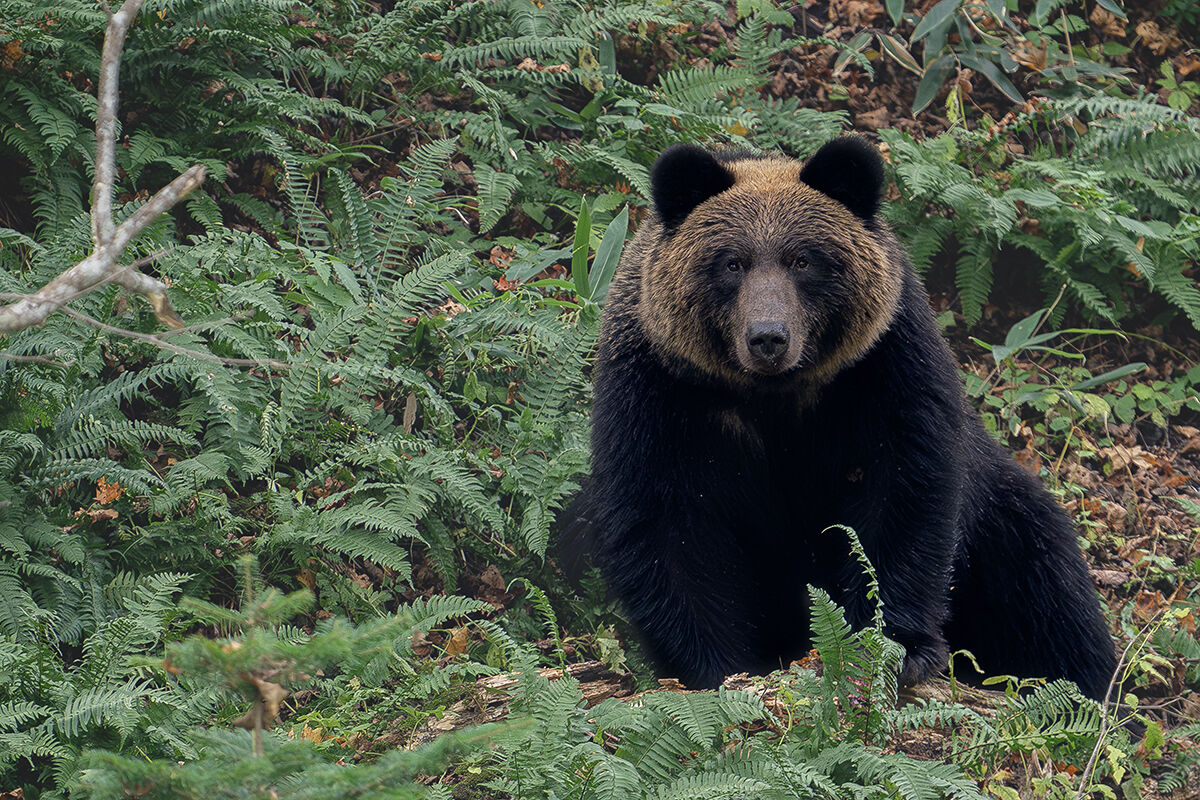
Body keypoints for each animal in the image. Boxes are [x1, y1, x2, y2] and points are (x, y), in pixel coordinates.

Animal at [580, 136, 1117, 700]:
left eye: (802, 260)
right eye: (731, 263)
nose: (768, 338)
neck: (773, 396)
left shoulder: (884, 369)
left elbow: (901, 495)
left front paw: (895, 647)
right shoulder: (660, 392)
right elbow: (667, 523)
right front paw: (718, 668)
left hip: (1000, 526)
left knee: (1045, 587)